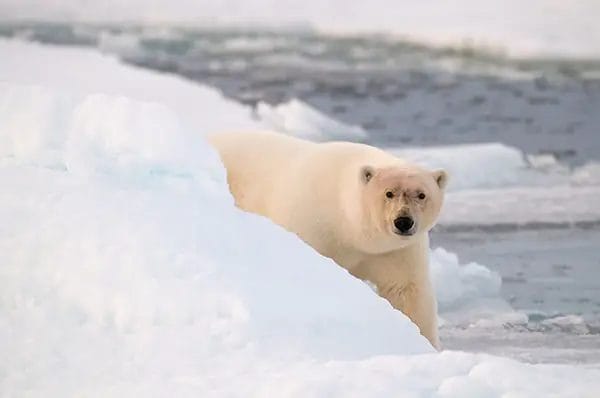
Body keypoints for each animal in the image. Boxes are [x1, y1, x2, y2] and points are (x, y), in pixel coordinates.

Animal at [209, 131, 448, 348]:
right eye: (389, 193)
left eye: (421, 195)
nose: (403, 221)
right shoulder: (313, 225)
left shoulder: (394, 251)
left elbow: (406, 290)